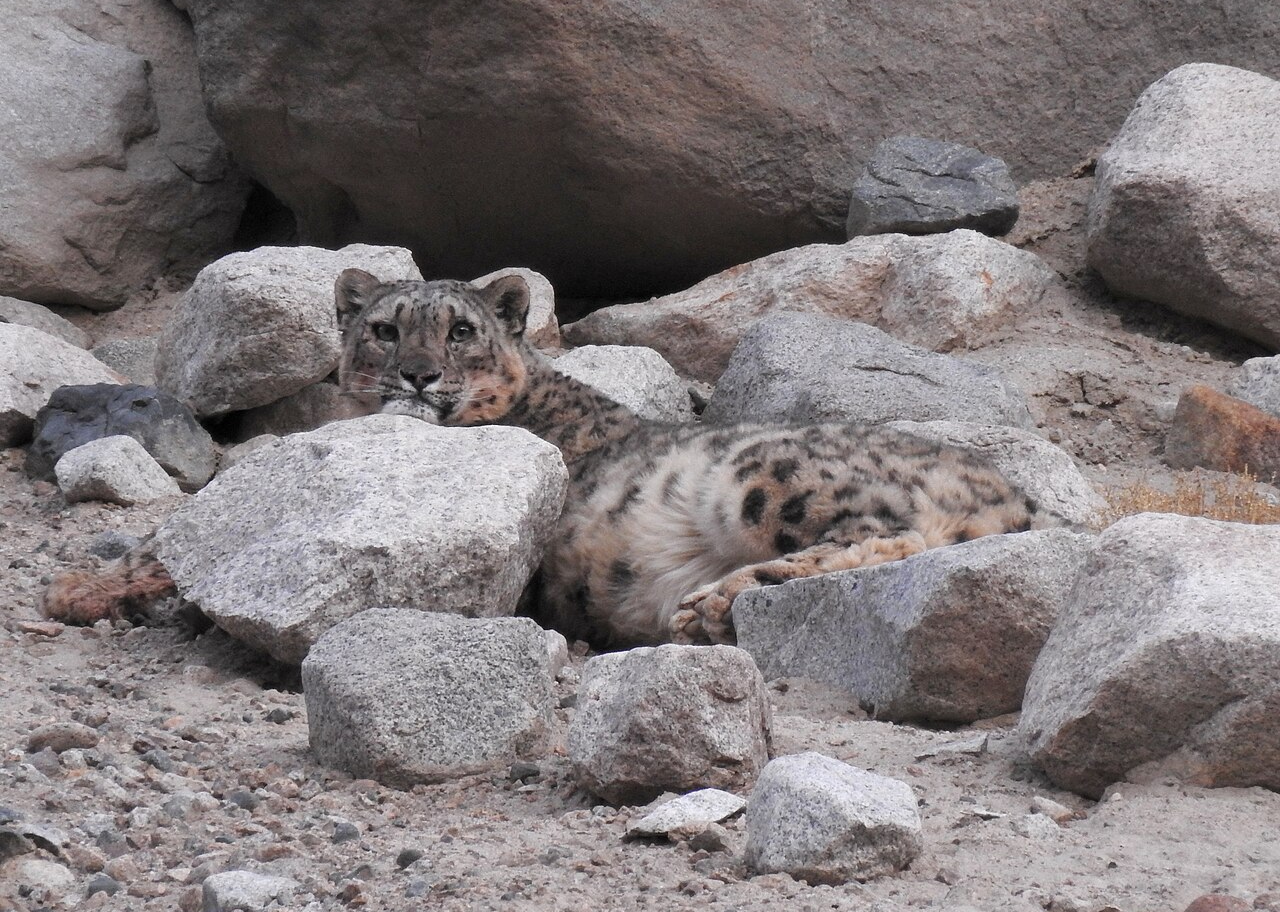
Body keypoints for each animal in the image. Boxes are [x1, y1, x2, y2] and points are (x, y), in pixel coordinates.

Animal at [44, 269, 1057, 646]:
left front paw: (81, 586)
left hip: (768, 476)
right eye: (383, 328)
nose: (416, 375)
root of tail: (1008, 491)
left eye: (460, 330)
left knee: (888, 533)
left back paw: (718, 600)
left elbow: (178, 546)